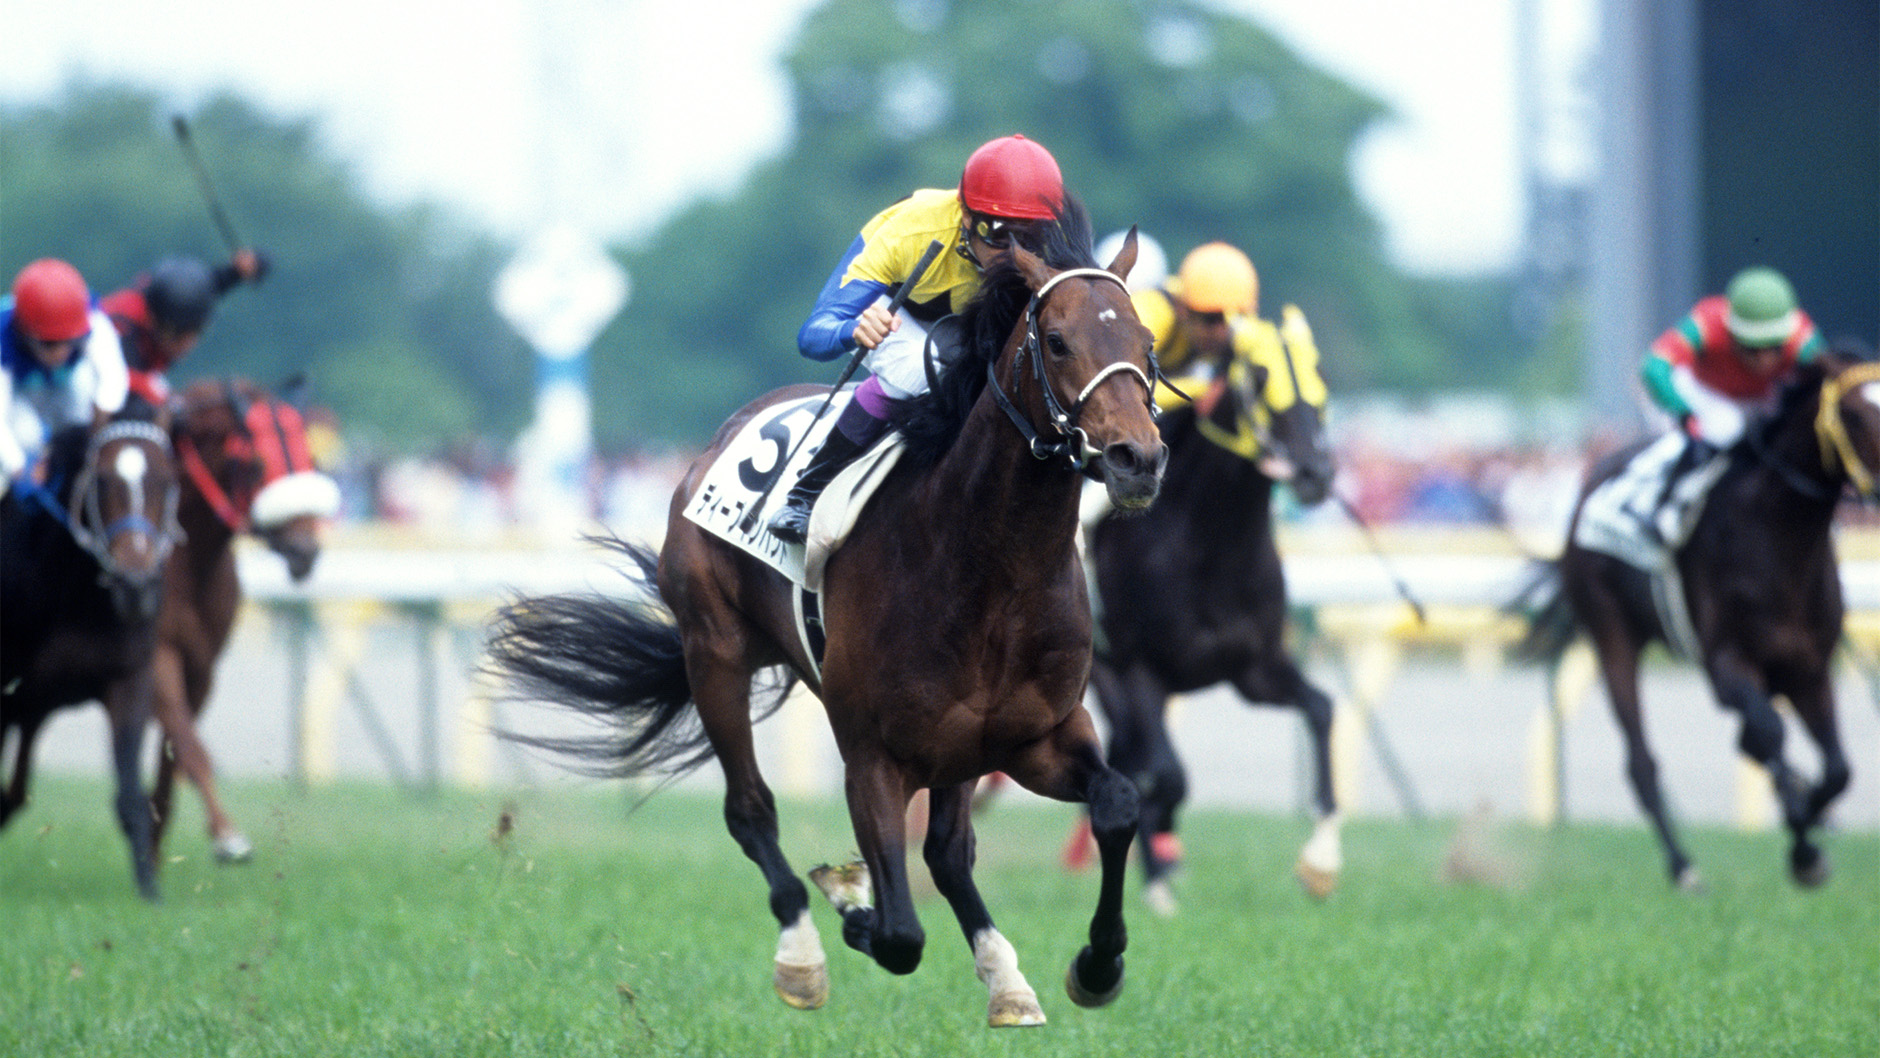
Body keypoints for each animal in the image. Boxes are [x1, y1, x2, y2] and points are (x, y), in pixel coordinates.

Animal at [1, 403, 182, 900]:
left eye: (166, 479)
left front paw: (150, 894)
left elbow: (131, 796)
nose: (136, 585)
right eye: (101, 480)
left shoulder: (128, 678)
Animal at [147, 377, 338, 865]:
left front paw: (152, 851)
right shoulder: (157, 655)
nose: (305, 552)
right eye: (256, 463)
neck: (183, 560)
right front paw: (227, 836)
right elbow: (190, 747)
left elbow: (174, 756)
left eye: (311, 459)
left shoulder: (201, 667)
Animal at [489, 218, 1168, 1026]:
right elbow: (901, 934)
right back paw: (803, 955)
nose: (1137, 459)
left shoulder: (1034, 735)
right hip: (715, 653)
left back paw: (1006, 979)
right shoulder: (873, 754)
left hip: (957, 749)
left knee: (948, 851)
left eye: (1145, 340)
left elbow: (1118, 804)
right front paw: (852, 905)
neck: (991, 566)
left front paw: (1098, 964)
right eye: (1059, 341)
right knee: (751, 811)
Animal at [1081, 314, 1338, 913]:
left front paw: (1320, 861)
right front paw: (1161, 870)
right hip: (1101, 673)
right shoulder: (1137, 666)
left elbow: (1321, 709)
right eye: (1262, 375)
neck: (1210, 545)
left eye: (1316, 367)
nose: (1315, 472)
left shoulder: (1254, 668)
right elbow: (1167, 775)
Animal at [1515, 345, 1875, 891]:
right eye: (1853, 414)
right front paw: (1805, 843)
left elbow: (1837, 768)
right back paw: (1683, 865)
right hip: (1612, 635)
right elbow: (1770, 731)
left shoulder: (1810, 668)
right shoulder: (1726, 663)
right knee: (1642, 763)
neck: (1779, 539)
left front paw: (1807, 823)